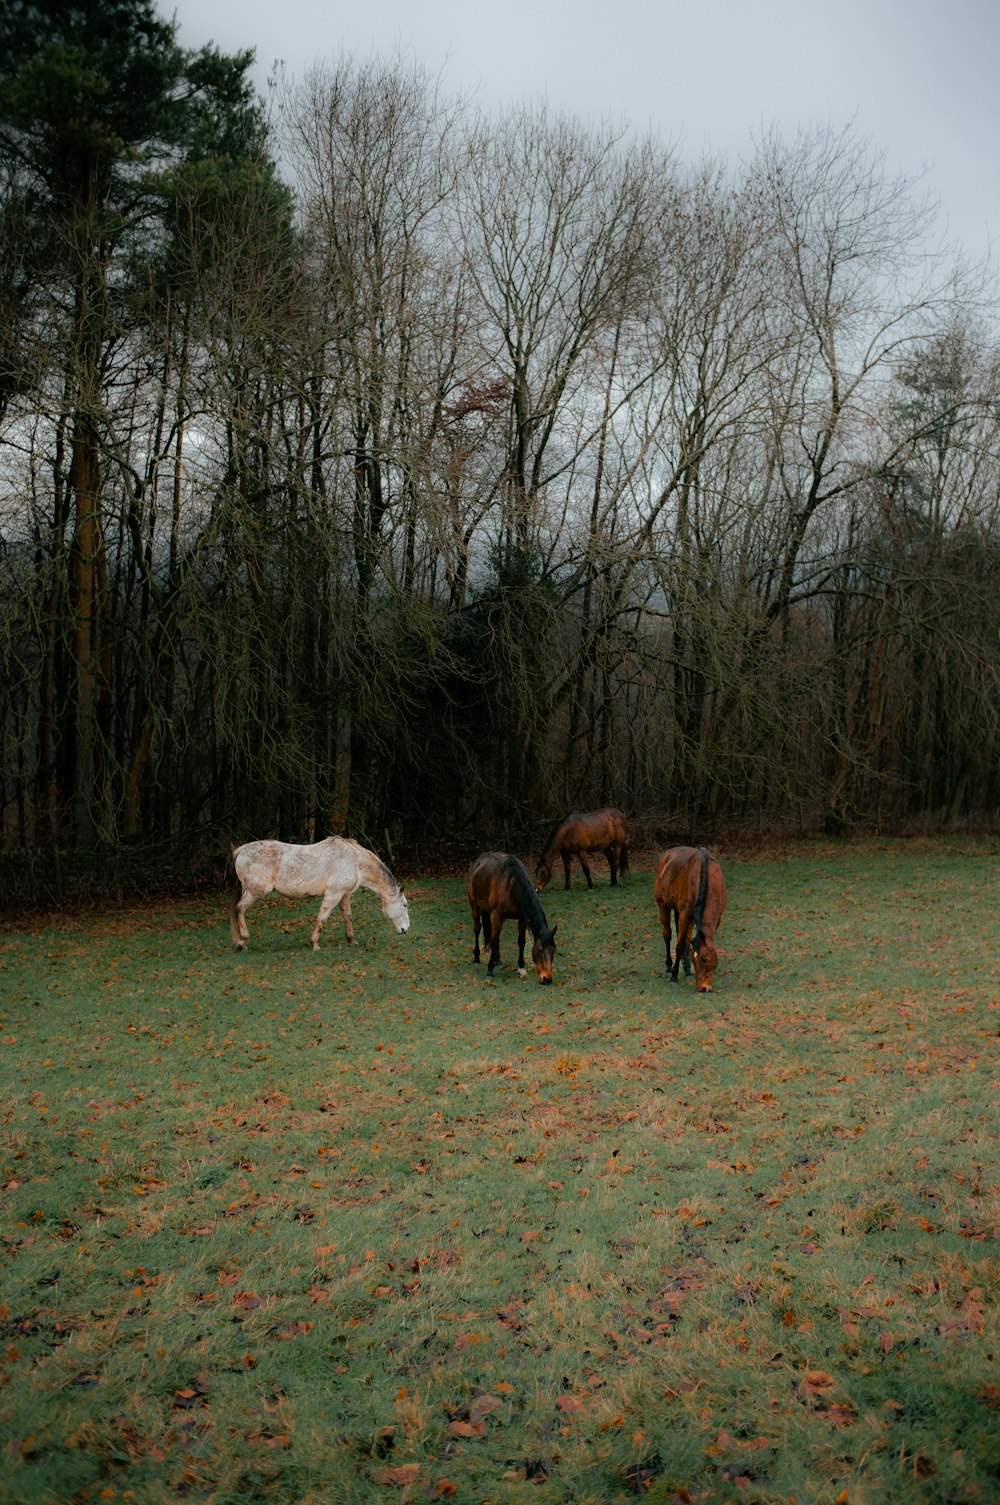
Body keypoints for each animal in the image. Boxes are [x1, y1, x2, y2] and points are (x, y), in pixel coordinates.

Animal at [231, 836, 409, 951]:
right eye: (405, 905)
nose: (406, 929)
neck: (355, 861)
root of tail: (240, 850)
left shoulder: (344, 895)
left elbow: (348, 916)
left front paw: (352, 940)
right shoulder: (333, 894)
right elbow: (322, 918)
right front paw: (315, 944)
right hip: (256, 892)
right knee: (239, 909)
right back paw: (242, 942)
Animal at [656, 842, 725, 993]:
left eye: (705, 959)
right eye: (696, 960)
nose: (703, 988)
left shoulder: (714, 918)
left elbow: (687, 942)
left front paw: (687, 968)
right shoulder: (685, 915)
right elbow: (680, 945)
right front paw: (674, 977)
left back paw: (686, 969)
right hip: (663, 906)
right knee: (667, 935)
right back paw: (669, 967)